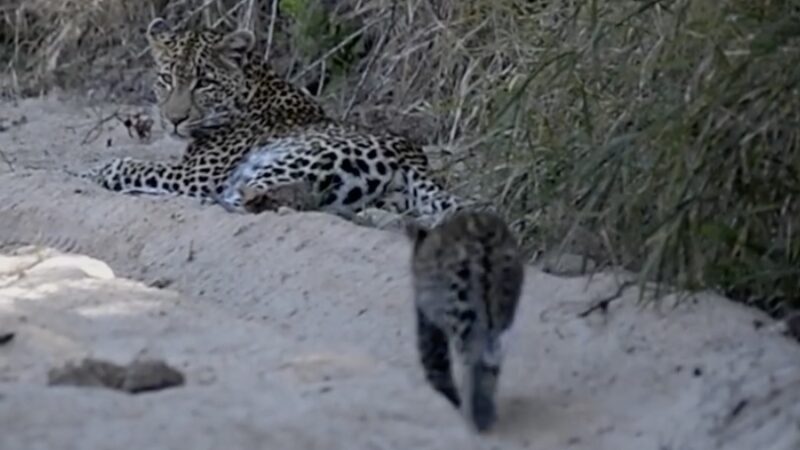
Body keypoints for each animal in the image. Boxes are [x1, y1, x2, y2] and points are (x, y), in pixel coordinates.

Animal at [78, 18, 466, 225]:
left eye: (203, 82)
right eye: (165, 79)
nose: (174, 119)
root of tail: (413, 157)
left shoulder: (194, 175)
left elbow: (132, 165)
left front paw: (94, 171)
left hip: (282, 163)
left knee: (249, 201)